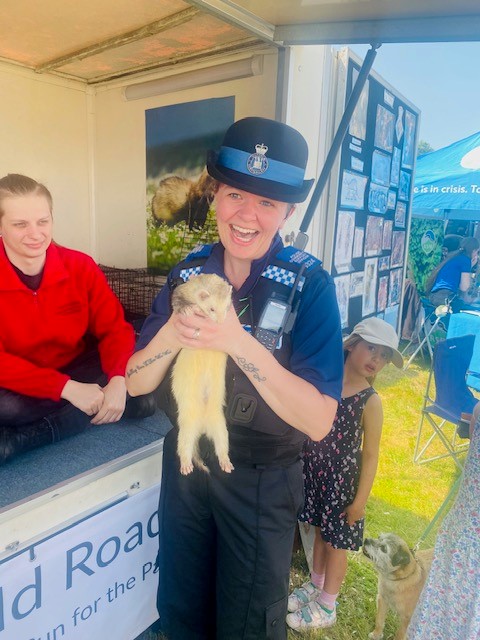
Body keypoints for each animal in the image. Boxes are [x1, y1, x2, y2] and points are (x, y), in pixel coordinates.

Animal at [172, 272, 233, 472]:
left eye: (227, 306)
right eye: (212, 308)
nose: (221, 322)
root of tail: (203, 426)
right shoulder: (181, 291)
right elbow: (176, 301)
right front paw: (187, 309)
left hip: (221, 427)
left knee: (221, 444)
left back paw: (226, 462)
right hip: (185, 427)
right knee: (184, 446)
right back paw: (186, 465)